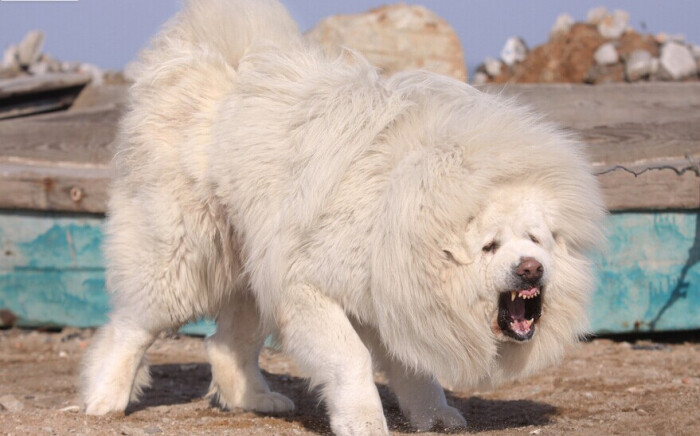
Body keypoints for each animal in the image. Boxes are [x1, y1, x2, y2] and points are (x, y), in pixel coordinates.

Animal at [82, 1, 604, 434]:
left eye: (535, 239)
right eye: (490, 246)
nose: (530, 268)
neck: (406, 218)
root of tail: (217, 68)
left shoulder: (394, 299)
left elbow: (416, 372)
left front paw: (434, 417)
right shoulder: (307, 288)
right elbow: (351, 360)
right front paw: (365, 423)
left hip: (254, 271)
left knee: (227, 343)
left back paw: (255, 400)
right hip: (181, 259)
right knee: (133, 327)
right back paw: (104, 400)